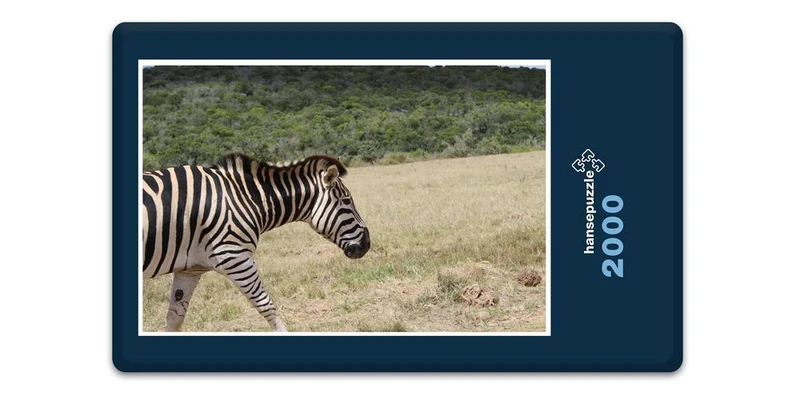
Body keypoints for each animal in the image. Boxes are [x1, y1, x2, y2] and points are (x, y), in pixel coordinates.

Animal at [141, 153, 370, 332]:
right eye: (347, 202)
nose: (367, 244)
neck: (246, 199)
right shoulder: (235, 257)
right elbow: (266, 305)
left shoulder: (190, 269)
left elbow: (175, 317)